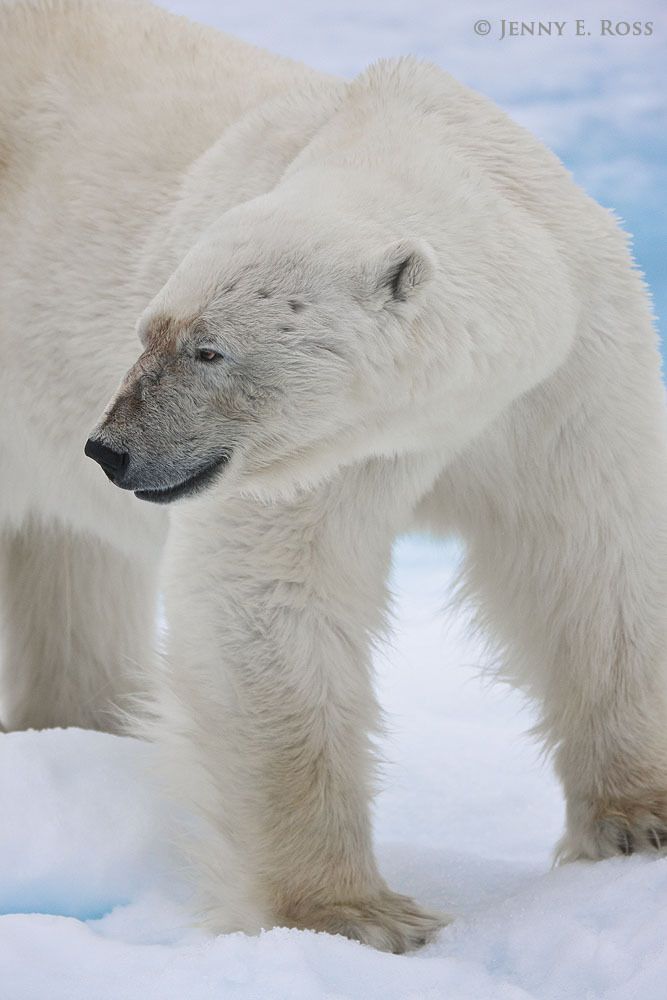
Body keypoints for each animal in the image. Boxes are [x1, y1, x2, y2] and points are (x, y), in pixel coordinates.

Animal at [2, 0, 667, 954]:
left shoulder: (563, 378)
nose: (113, 449)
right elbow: (273, 599)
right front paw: (355, 915)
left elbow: (592, 555)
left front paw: (636, 822)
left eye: (207, 348)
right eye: (148, 329)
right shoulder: (323, 454)